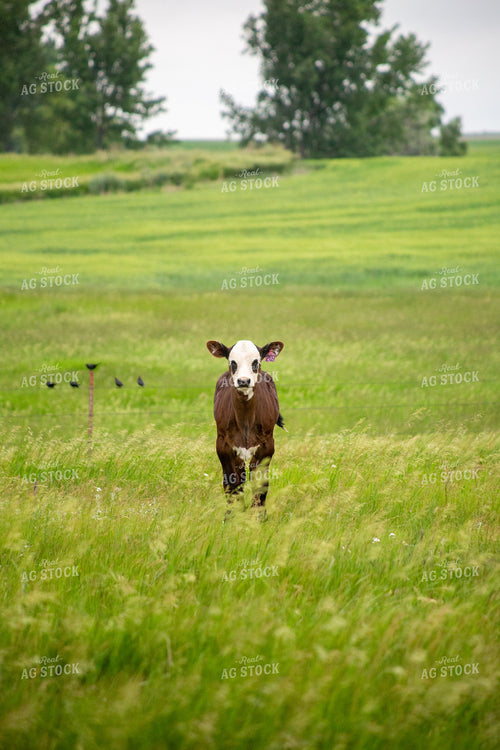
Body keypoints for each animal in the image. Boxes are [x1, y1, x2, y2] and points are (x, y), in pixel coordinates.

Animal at [206, 339, 285, 509]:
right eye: (232, 362)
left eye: (256, 362)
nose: (243, 381)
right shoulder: (223, 446)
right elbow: (231, 485)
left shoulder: (266, 446)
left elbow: (260, 486)